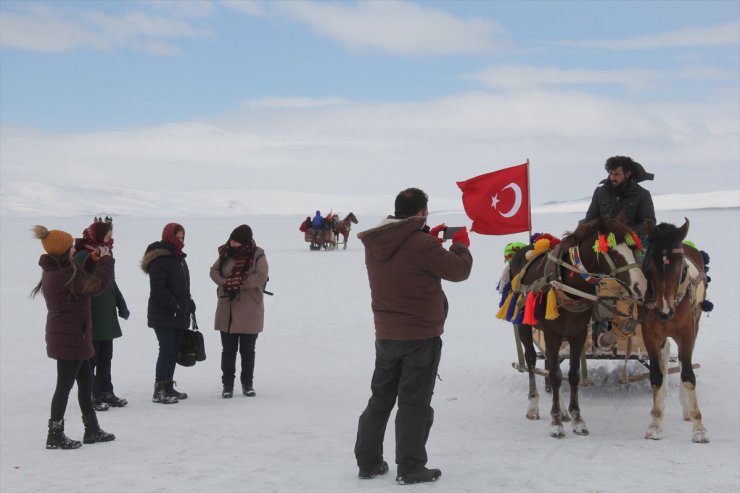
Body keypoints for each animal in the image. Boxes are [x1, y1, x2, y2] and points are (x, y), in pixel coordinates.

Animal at [508, 217, 648, 436]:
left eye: (633, 248)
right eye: (612, 251)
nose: (640, 285)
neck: (570, 289)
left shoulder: (578, 334)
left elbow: (572, 375)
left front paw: (576, 419)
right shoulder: (552, 334)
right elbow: (555, 376)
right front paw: (556, 423)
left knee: (551, 364)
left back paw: (563, 410)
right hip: (523, 324)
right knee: (531, 360)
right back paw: (533, 406)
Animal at [640, 219, 712, 442]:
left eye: (680, 265)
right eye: (650, 265)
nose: (664, 311)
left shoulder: (687, 333)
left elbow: (688, 375)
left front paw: (699, 427)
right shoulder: (649, 334)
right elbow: (656, 375)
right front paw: (655, 423)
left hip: (696, 322)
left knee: (682, 361)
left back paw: (687, 409)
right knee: (665, 355)